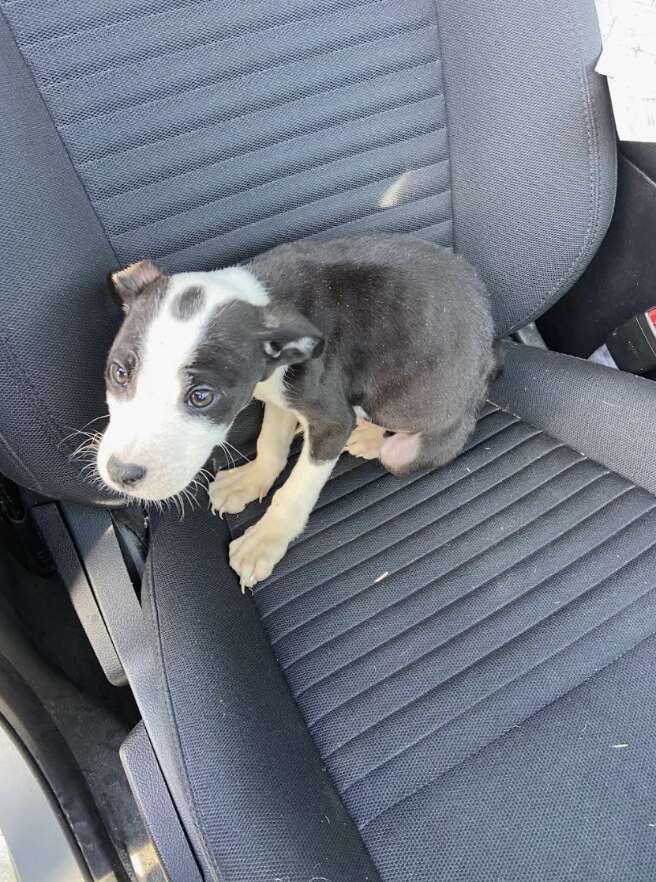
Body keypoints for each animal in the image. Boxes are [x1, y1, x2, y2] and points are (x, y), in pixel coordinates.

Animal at [96, 234, 498, 592]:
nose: (121, 473)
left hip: (411, 447)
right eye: (119, 373)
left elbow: (295, 490)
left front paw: (264, 542)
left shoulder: (330, 421)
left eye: (202, 397)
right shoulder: (280, 396)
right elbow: (270, 444)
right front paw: (250, 481)